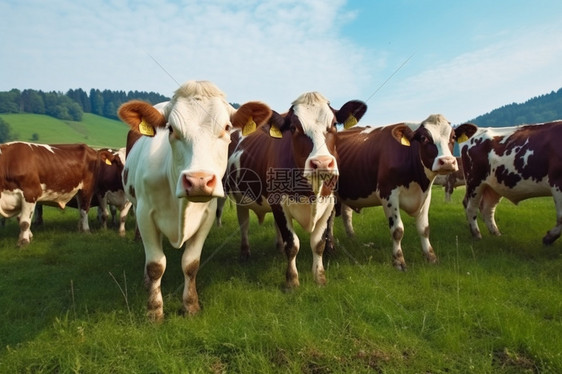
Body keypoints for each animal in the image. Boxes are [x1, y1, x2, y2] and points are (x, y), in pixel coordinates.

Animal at [117, 80, 270, 320]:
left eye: (226, 128)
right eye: (171, 129)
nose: (199, 180)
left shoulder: (206, 216)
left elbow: (191, 263)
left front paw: (190, 306)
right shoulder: (144, 215)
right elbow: (155, 265)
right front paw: (154, 310)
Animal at [225, 92, 366, 288]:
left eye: (333, 125)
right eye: (293, 128)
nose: (322, 163)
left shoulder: (329, 203)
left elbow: (319, 243)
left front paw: (320, 278)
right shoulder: (279, 203)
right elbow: (292, 244)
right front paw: (292, 281)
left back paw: (277, 248)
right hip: (240, 199)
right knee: (244, 223)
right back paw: (245, 253)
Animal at [332, 114, 456, 268]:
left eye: (453, 137)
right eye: (423, 138)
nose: (447, 161)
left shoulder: (426, 195)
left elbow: (424, 229)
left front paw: (431, 257)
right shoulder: (388, 194)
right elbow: (397, 230)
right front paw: (398, 260)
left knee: (346, 214)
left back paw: (352, 238)